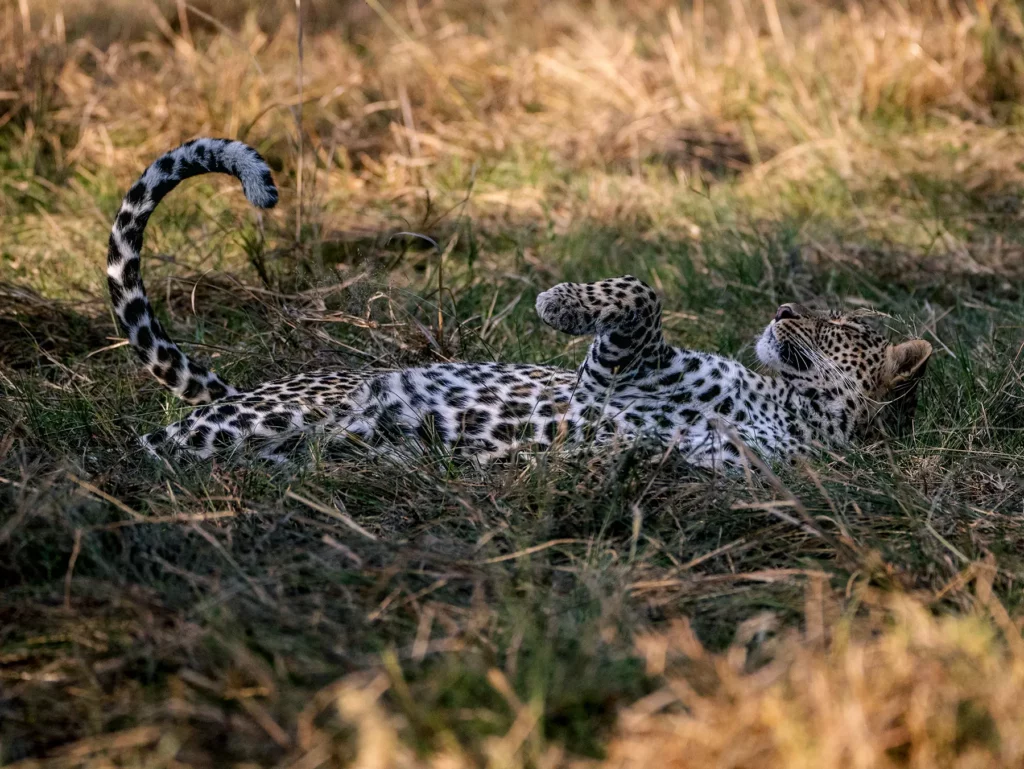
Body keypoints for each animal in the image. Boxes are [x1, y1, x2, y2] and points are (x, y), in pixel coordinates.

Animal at [107, 138, 933, 471]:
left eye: (844, 322)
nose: (785, 308)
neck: (790, 405)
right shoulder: (619, 374)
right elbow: (641, 291)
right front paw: (556, 302)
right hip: (260, 414)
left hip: (254, 437)